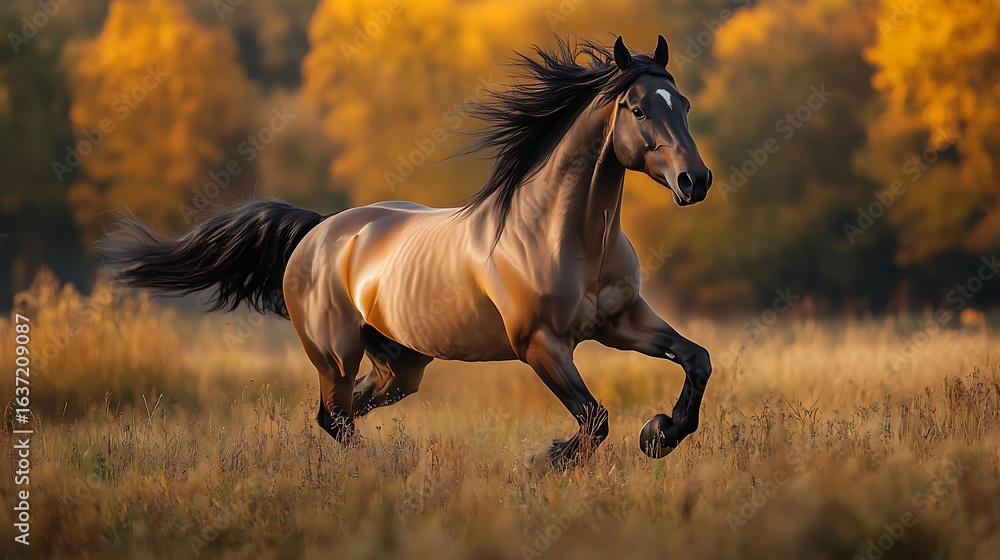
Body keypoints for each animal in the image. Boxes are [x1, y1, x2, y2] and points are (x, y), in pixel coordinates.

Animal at [103, 35, 714, 467]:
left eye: (683, 103)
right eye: (638, 108)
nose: (695, 181)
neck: (563, 237)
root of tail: (318, 232)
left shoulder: (623, 322)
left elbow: (696, 359)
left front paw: (659, 434)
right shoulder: (540, 344)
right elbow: (595, 419)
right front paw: (541, 460)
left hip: (402, 363)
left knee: (346, 410)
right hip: (335, 352)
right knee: (335, 417)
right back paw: (382, 470)